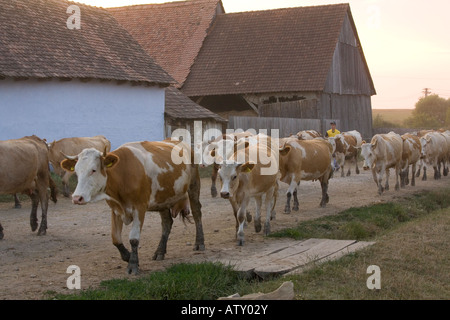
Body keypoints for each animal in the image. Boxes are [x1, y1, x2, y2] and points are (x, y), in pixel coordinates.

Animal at [60, 139, 205, 274]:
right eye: (76, 172)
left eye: (93, 170)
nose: (77, 198)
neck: (122, 175)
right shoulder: (115, 209)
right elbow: (115, 238)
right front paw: (128, 256)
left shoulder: (139, 208)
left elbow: (134, 239)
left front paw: (133, 264)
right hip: (162, 199)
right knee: (167, 223)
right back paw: (160, 251)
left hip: (194, 184)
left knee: (197, 213)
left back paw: (199, 243)